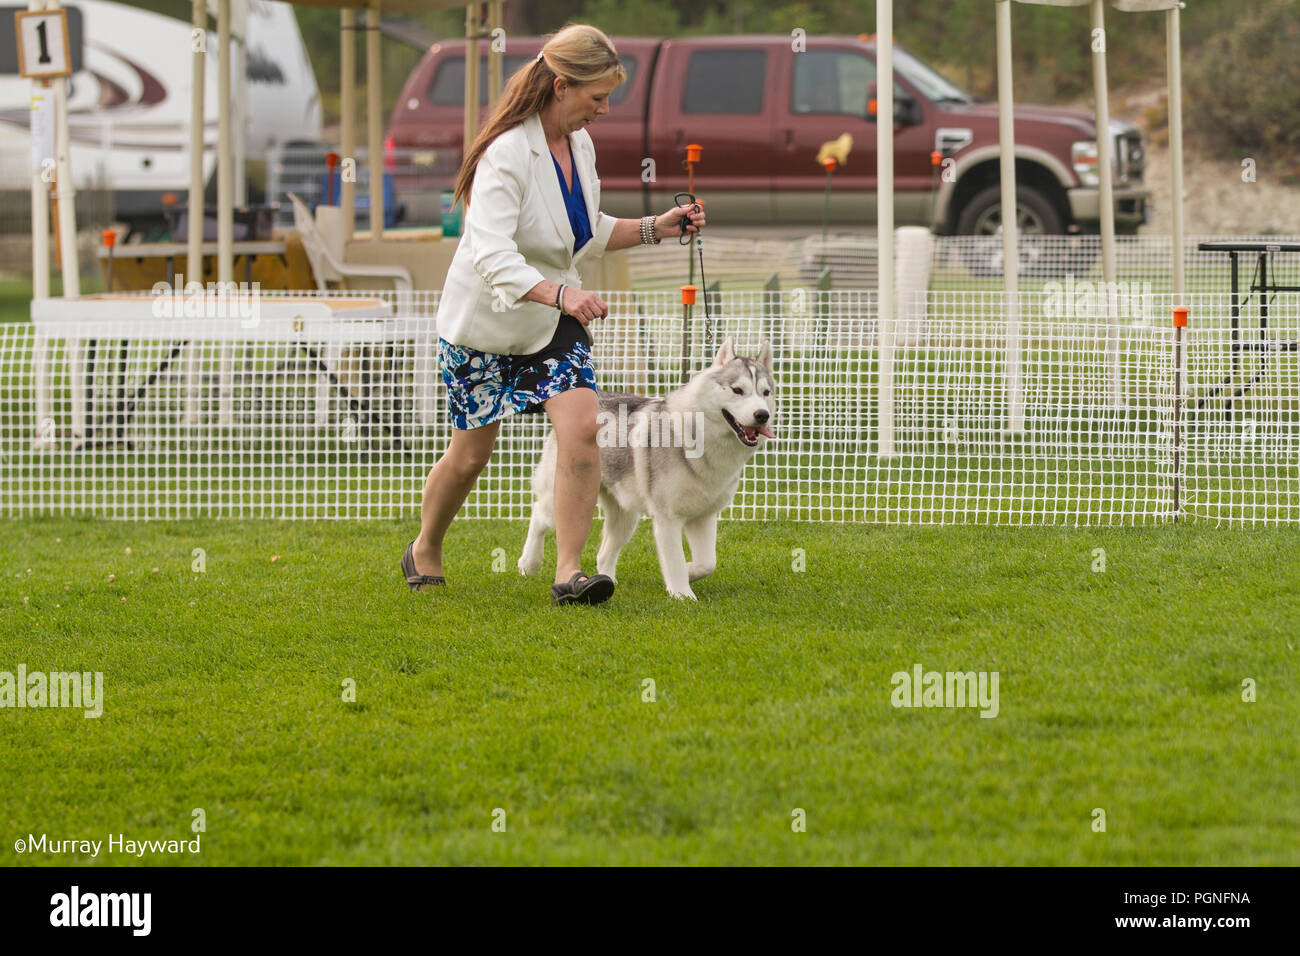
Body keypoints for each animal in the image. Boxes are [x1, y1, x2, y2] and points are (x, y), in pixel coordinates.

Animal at [517, 340, 774, 600]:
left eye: (766, 393)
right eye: (737, 390)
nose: (763, 415)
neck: (700, 438)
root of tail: (597, 395)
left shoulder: (703, 517)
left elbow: (707, 563)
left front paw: (689, 572)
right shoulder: (667, 519)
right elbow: (675, 561)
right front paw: (682, 594)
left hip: (626, 517)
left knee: (603, 553)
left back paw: (605, 581)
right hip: (565, 495)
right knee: (538, 515)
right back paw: (529, 563)